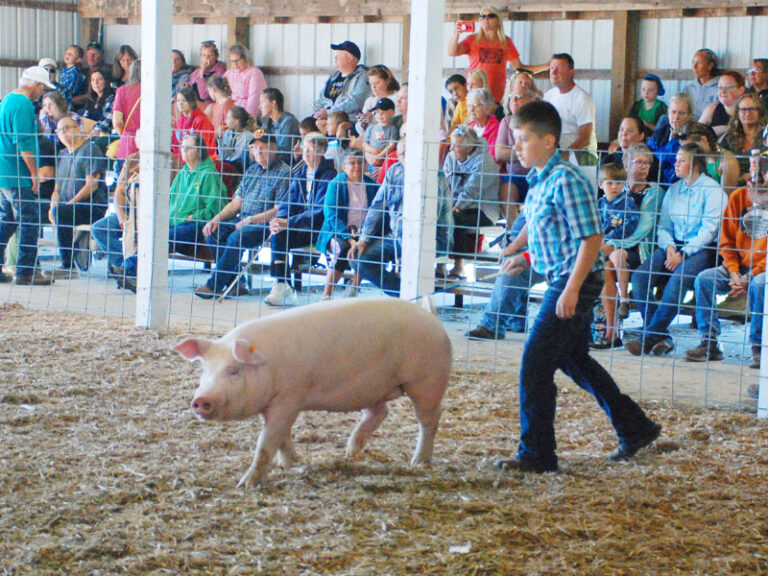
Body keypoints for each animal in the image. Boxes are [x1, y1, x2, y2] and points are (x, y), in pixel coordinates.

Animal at [174, 296, 450, 486]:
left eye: (233, 370)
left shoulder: (288, 398)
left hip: (426, 382)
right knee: (380, 412)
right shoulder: (275, 403)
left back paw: (418, 462)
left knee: (430, 419)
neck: (269, 365)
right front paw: (289, 463)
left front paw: (245, 484)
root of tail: (432, 318)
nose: (200, 401)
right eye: (204, 369)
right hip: (371, 387)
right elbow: (281, 436)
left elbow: (267, 441)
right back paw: (350, 453)